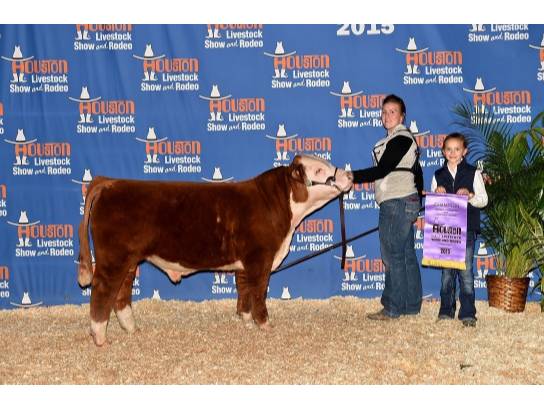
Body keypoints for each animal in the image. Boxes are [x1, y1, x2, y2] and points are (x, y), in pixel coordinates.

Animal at [78, 155, 353, 346]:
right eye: (319, 170)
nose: (350, 176)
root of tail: (110, 183)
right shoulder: (260, 258)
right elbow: (259, 293)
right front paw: (265, 325)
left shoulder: (245, 263)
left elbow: (244, 292)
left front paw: (246, 322)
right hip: (113, 257)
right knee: (102, 291)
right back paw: (101, 338)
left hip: (129, 259)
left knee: (122, 292)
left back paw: (131, 329)